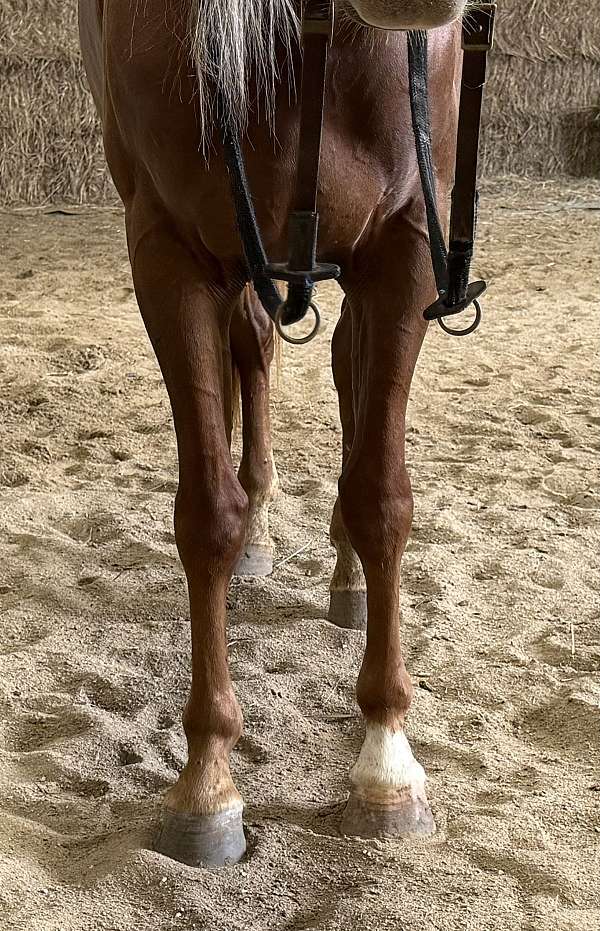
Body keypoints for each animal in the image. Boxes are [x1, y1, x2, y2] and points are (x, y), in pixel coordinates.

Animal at [78, 0, 468, 867]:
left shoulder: (405, 242)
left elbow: (382, 498)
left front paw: (387, 764)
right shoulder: (168, 249)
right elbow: (207, 515)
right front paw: (207, 781)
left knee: (347, 368)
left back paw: (349, 579)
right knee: (255, 354)